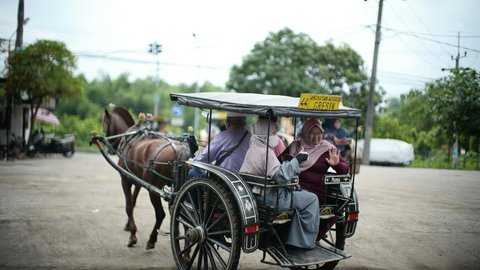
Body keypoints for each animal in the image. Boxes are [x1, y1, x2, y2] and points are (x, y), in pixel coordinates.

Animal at [103, 106, 191, 250]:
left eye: (104, 124)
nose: (110, 149)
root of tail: (180, 151)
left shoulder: (125, 179)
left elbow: (128, 205)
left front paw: (133, 236)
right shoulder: (137, 181)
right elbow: (133, 202)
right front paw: (128, 226)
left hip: (153, 190)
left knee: (161, 214)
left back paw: (152, 240)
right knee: (185, 218)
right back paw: (186, 251)